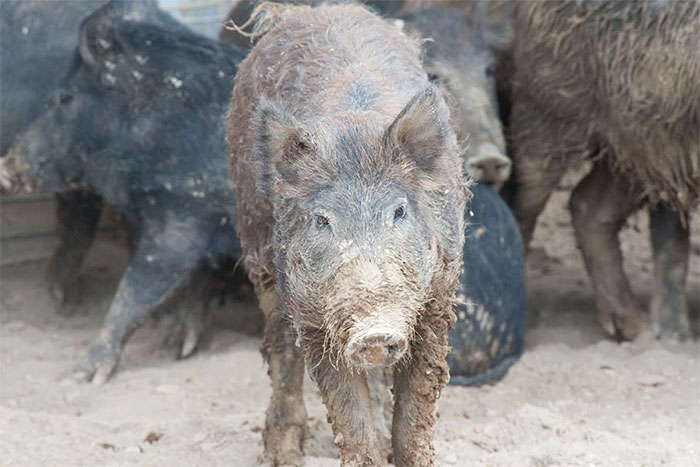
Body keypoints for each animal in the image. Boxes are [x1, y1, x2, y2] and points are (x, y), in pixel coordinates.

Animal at [1, 0, 247, 384]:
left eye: (63, 97)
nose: (7, 166)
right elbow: (193, 288)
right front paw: (175, 350)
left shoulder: (181, 219)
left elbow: (133, 291)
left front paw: (86, 375)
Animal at [230, 2, 468, 464]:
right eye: (323, 220)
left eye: (399, 211)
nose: (373, 332)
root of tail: (307, 12)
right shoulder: (315, 319)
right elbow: (347, 416)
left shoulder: (438, 300)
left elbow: (416, 410)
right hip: (257, 244)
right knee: (280, 347)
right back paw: (281, 454)